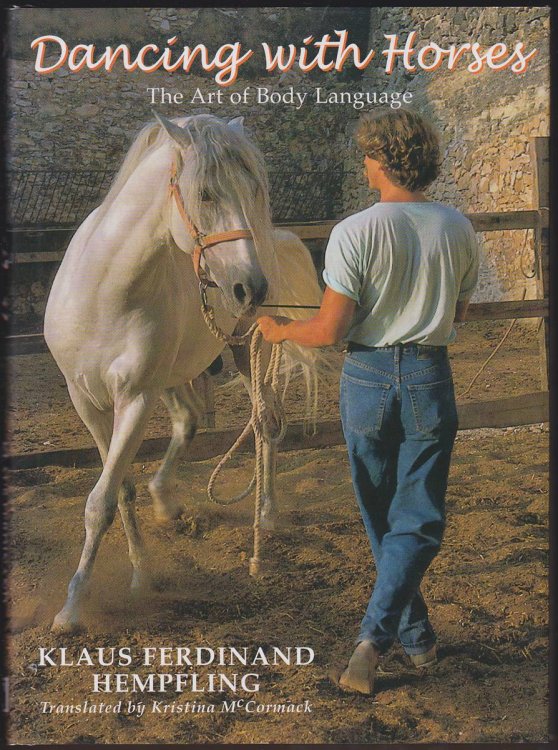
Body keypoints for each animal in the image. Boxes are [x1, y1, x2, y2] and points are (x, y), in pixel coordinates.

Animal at [44, 112, 325, 633]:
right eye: (206, 194)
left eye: (254, 191)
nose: (250, 287)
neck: (104, 293)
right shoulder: (86, 401)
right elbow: (119, 490)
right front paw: (140, 574)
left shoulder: (135, 399)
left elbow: (100, 503)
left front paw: (73, 608)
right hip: (173, 378)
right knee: (190, 422)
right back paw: (167, 501)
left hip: (246, 353)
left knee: (266, 422)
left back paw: (267, 515)